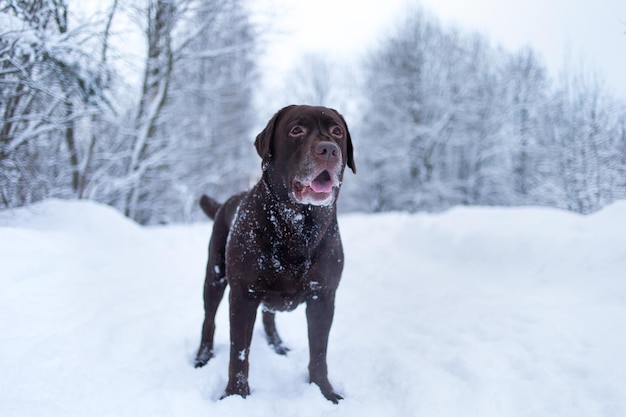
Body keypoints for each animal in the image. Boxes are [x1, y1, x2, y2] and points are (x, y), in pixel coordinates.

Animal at [193, 105, 354, 404]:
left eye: (337, 131)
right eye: (296, 130)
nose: (329, 149)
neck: (298, 226)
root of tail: (224, 203)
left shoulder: (323, 295)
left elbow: (319, 352)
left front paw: (324, 392)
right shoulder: (243, 294)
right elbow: (239, 353)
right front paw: (236, 396)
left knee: (269, 315)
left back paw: (277, 344)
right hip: (215, 276)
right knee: (209, 320)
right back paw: (202, 356)